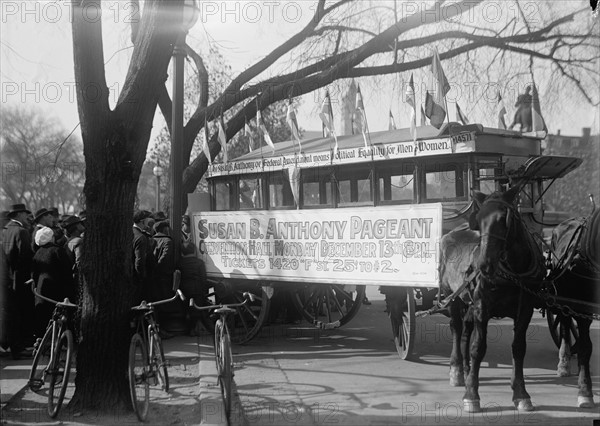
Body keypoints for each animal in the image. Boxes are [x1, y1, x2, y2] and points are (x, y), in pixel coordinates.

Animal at [438, 187, 548, 412]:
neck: (513, 272)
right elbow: (478, 348)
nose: (484, 265)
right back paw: (457, 369)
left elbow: (518, 348)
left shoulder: (525, 309)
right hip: (451, 297)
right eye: (478, 220)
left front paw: (520, 393)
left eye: (504, 218)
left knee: (466, 330)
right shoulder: (482, 307)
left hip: (468, 302)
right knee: (457, 329)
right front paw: (471, 394)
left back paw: (466, 369)